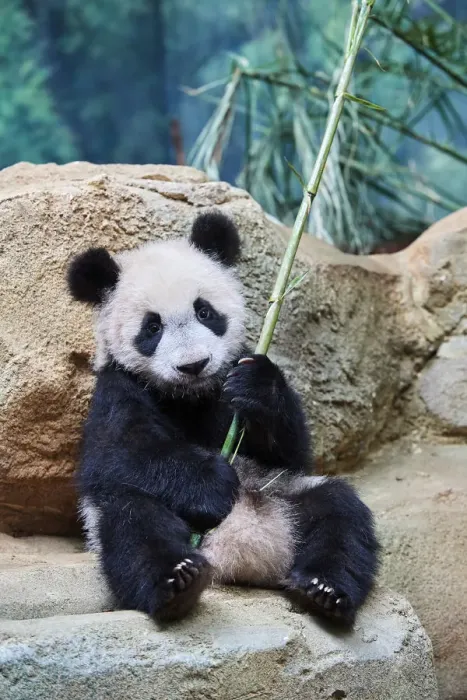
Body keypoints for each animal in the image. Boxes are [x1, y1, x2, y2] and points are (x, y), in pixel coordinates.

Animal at [67, 211, 378, 625]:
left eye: (204, 311)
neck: (190, 395)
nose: (193, 364)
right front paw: (212, 482)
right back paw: (177, 583)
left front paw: (257, 387)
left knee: (340, 514)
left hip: (284, 491)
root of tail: (241, 557)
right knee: (134, 523)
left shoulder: (234, 375)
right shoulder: (118, 390)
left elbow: (291, 452)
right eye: (152, 327)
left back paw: (324, 590)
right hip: (140, 514)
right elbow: (117, 455)